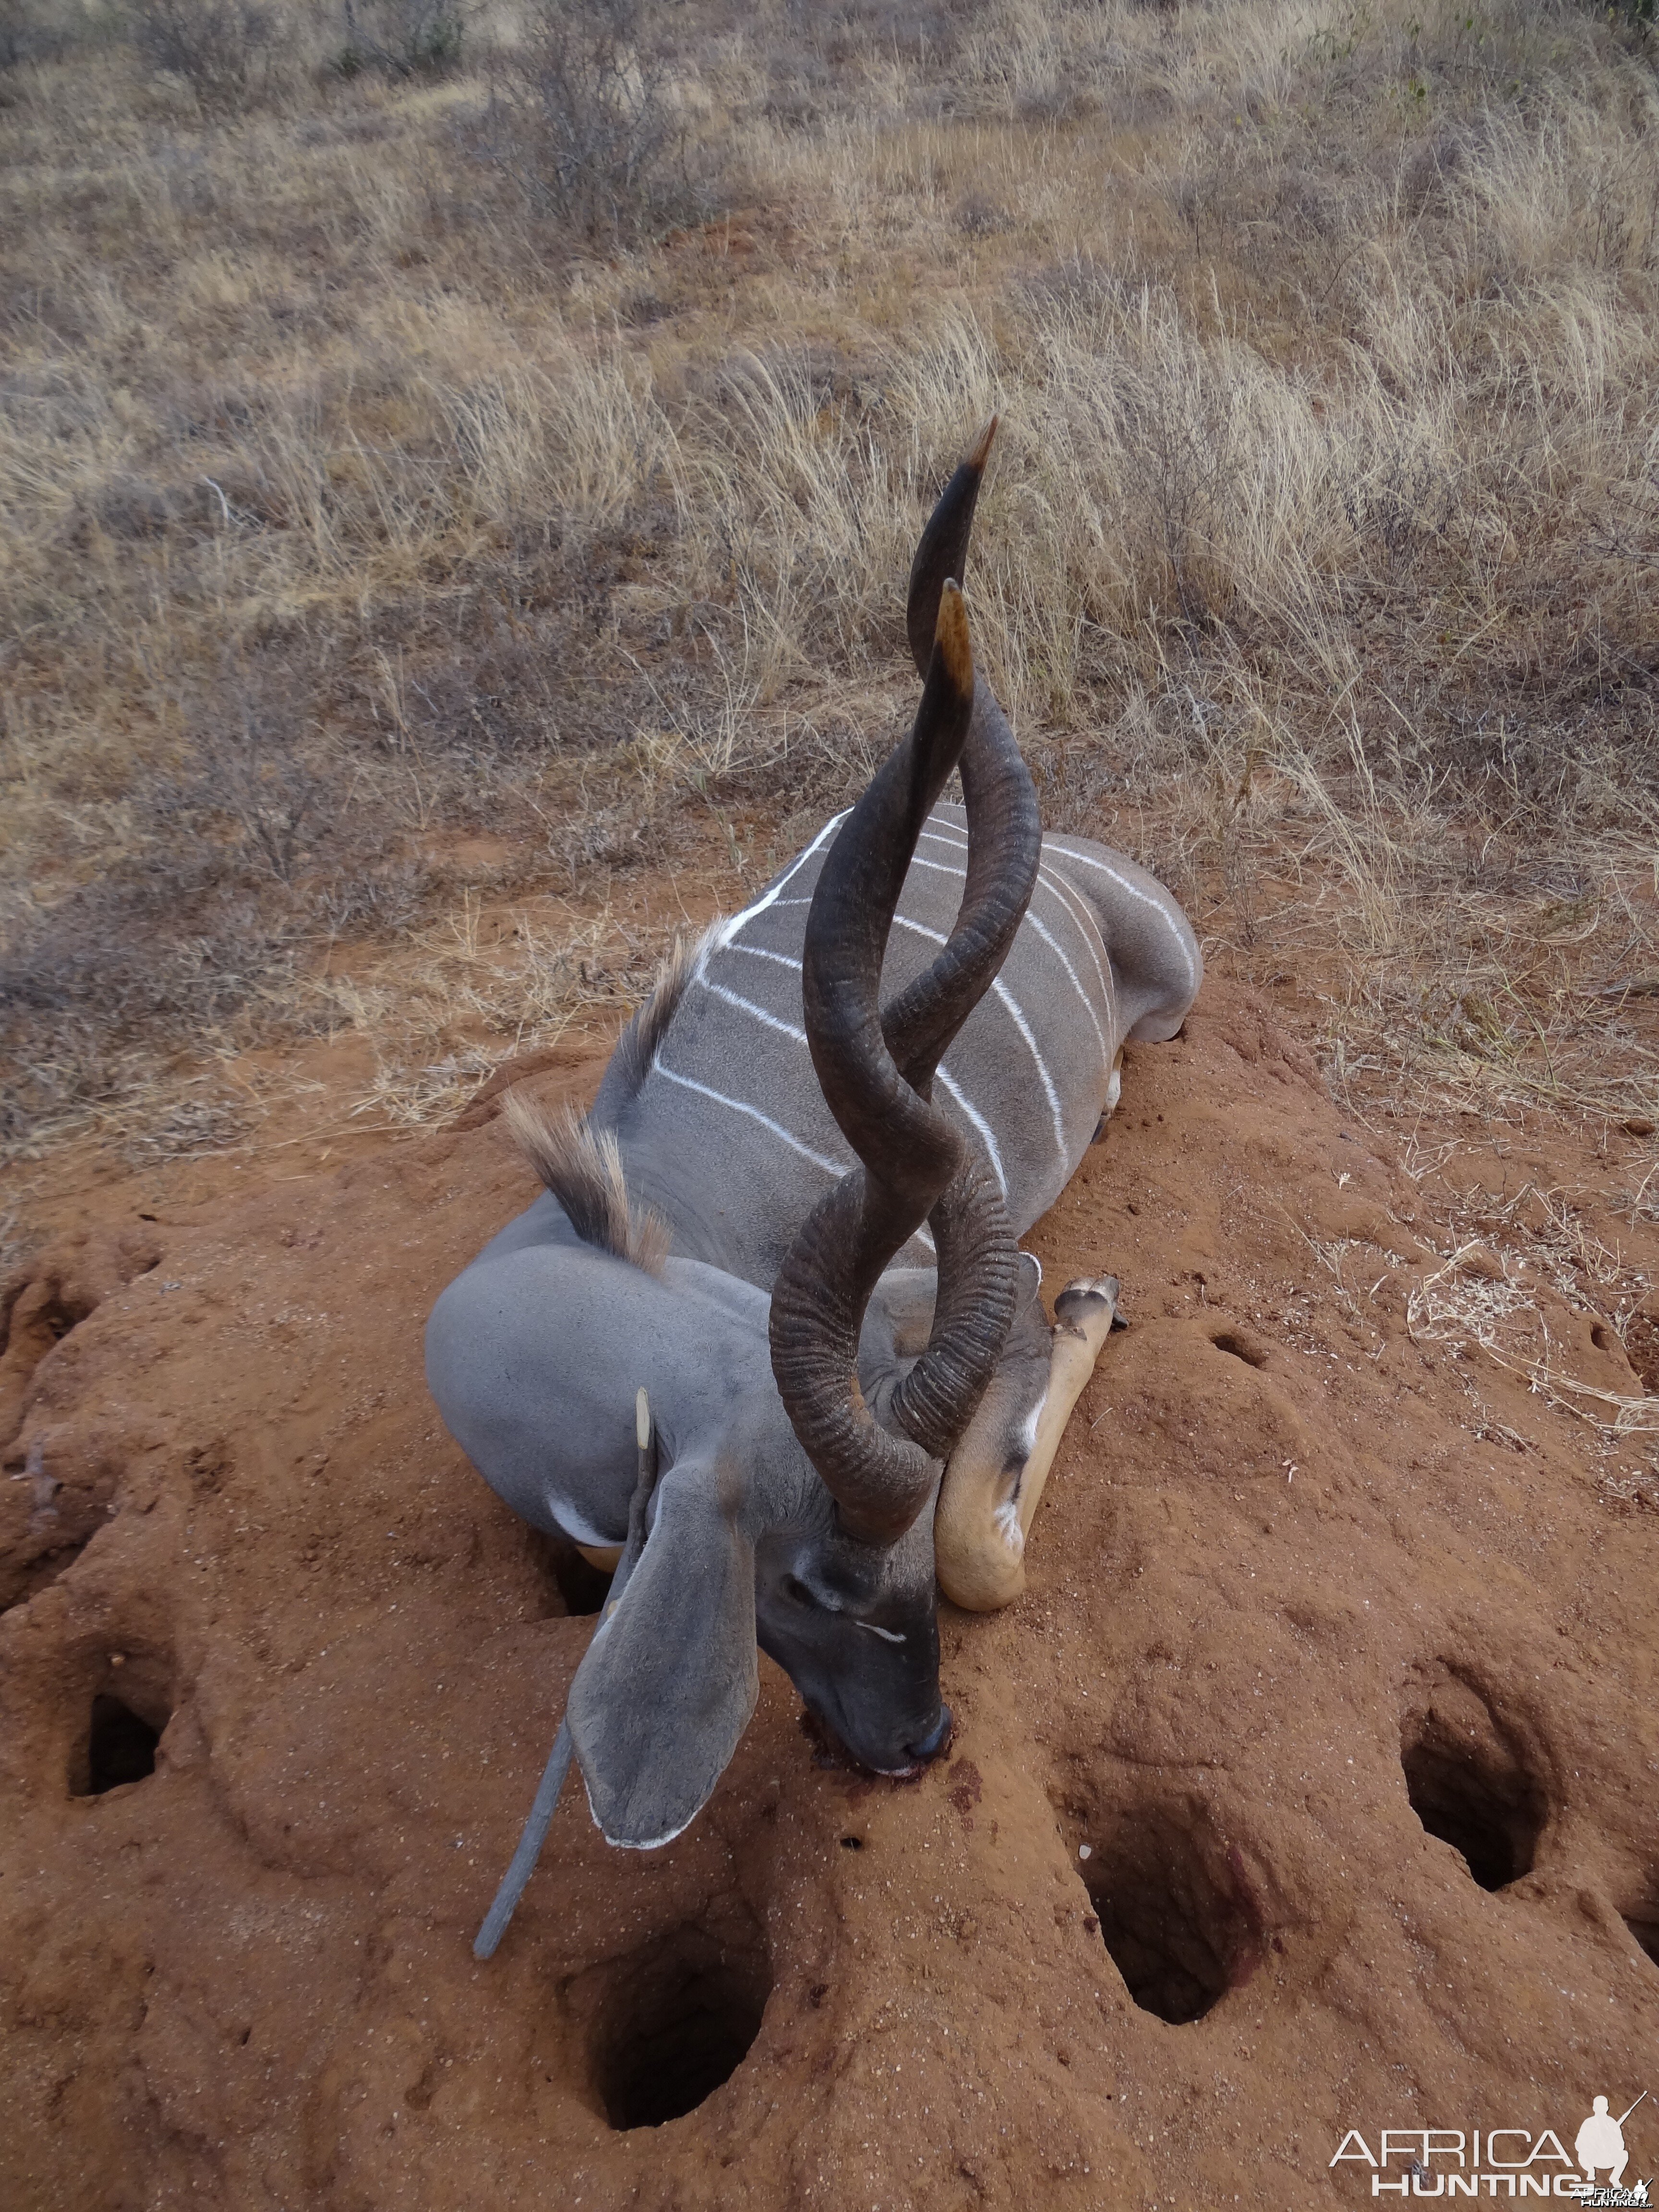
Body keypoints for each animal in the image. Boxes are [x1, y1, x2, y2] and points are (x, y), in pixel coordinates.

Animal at [424, 427, 1212, 1902]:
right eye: (803, 1587)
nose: (921, 1741)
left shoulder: (945, 1292)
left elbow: (978, 1548)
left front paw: (1084, 1310)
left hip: (1177, 982)